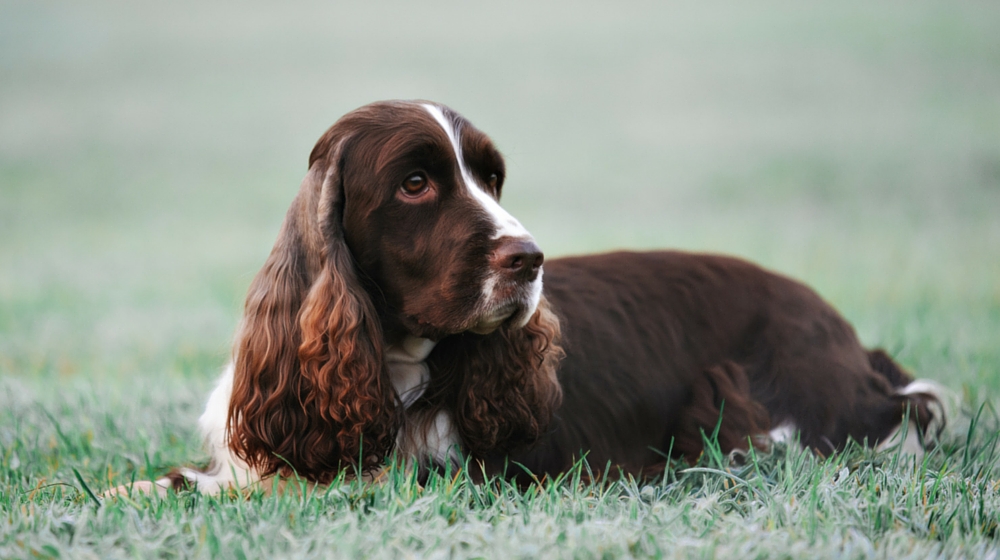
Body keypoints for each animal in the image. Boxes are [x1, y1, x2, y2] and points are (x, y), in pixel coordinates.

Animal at [111, 99, 944, 494]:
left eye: (493, 178)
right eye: (416, 183)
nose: (530, 258)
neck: (392, 362)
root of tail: (847, 335)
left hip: (761, 407)